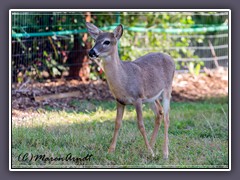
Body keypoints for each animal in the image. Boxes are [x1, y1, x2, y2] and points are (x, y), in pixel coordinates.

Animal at [86, 22, 174, 159]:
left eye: (107, 42)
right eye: (95, 40)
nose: (91, 52)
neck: (123, 80)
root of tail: (171, 58)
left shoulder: (137, 98)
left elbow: (141, 125)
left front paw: (151, 152)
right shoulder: (119, 100)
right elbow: (117, 123)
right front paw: (110, 150)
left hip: (167, 89)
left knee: (166, 117)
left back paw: (164, 153)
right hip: (151, 97)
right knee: (159, 113)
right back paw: (151, 146)